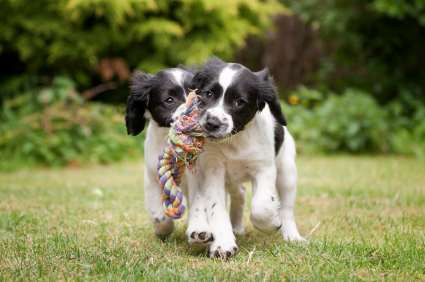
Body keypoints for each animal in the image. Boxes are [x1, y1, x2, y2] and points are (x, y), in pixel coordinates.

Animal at [190, 57, 304, 260]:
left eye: (239, 102)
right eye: (208, 94)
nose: (212, 123)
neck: (234, 141)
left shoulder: (264, 169)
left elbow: (261, 205)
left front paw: (271, 224)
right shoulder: (212, 172)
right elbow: (217, 209)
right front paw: (223, 244)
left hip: (287, 172)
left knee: (286, 208)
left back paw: (292, 236)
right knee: (240, 193)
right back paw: (236, 228)